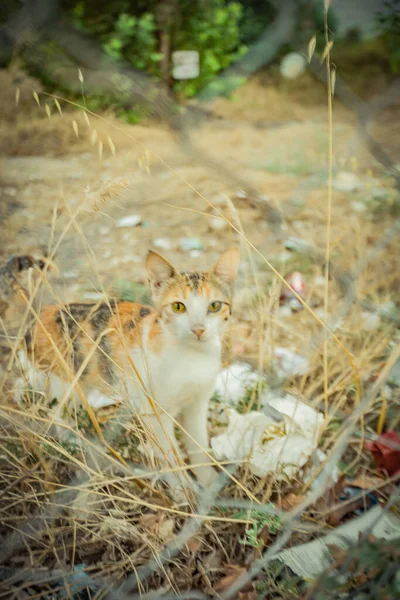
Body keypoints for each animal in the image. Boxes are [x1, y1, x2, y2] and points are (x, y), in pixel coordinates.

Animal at [14, 246, 241, 500]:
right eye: (178, 307)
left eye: (214, 306)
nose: (199, 329)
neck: (193, 356)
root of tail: (39, 315)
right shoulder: (154, 412)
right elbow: (170, 455)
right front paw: (184, 492)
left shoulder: (197, 404)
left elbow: (199, 447)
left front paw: (210, 484)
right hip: (63, 383)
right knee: (57, 418)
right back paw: (78, 447)